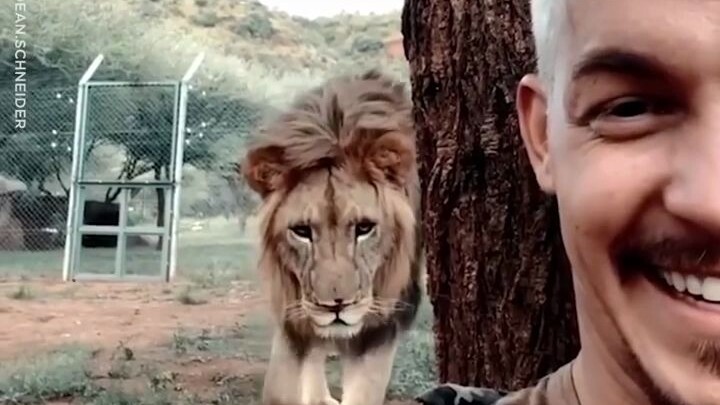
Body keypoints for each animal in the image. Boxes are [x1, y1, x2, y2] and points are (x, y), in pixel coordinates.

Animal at [240, 69, 424, 405]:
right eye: (302, 231)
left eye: (364, 228)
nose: (335, 307)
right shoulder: (293, 316)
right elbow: (280, 388)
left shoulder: (382, 323)